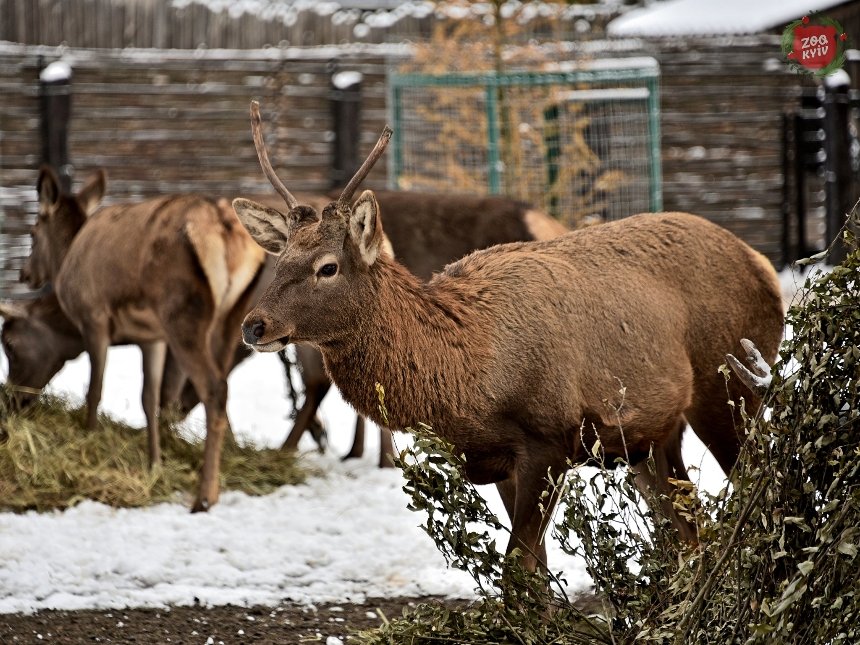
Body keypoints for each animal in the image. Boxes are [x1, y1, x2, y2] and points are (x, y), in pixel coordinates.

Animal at [15, 167, 266, 512]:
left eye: (33, 232)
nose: (24, 274)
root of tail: (225, 229)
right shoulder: (152, 337)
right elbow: (149, 398)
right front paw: (154, 463)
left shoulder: (93, 316)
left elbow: (94, 390)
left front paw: (89, 441)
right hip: (232, 317)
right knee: (221, 384)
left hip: (182, 314)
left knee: (214, 389)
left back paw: (204, 496)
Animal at [232, 103, 784, 572]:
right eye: (278, 260)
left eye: (328, 267)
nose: (253, 325)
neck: (468, 382)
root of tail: (765, 268)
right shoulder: (491, 459)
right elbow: (532, 573)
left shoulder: (551, 439)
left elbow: (517, 574)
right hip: (651, 438)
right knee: (690, 528)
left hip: (729, 386)